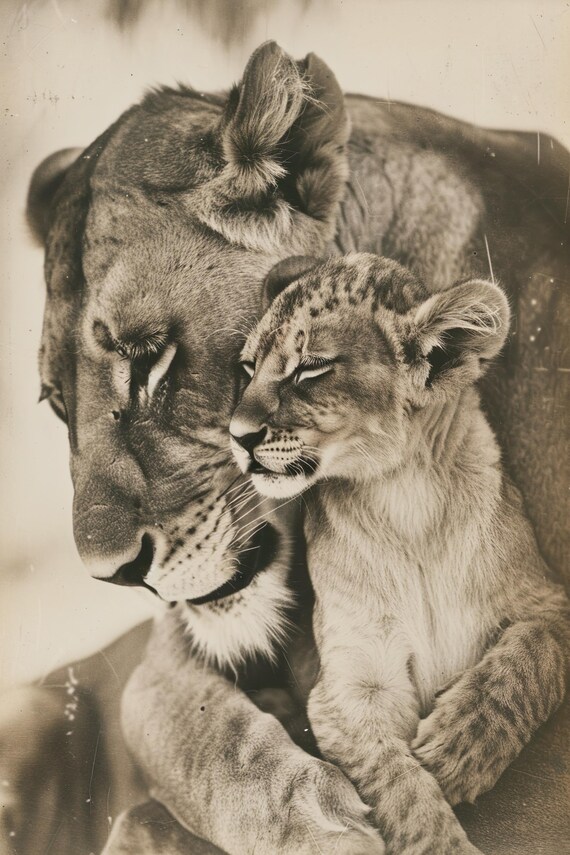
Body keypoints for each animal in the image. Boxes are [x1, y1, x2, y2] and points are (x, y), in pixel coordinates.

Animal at [230, 252, 570, 854]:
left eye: (310, 368)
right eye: (248, 369)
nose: (236, 435)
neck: (407, 498)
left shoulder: (551, 599)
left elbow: (526, 659)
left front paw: (457, 750)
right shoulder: (353, 685)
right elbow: (402, 790)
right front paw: (439, 821)